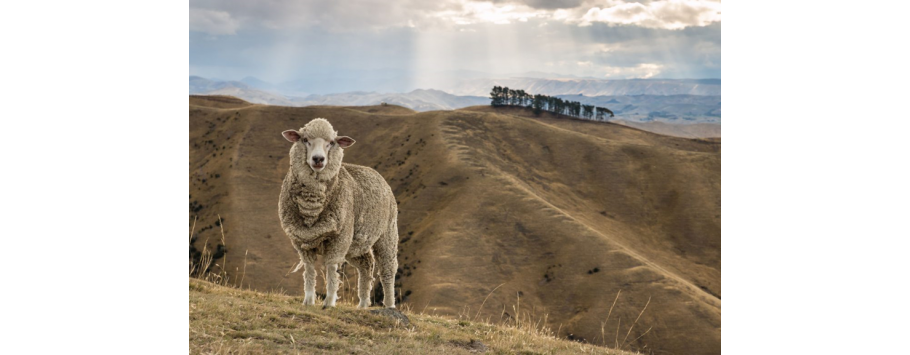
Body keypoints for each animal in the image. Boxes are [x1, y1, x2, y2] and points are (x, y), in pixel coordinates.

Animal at [278, 118, 400, 310]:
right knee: (366, 265)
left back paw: (389, 306)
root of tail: (376, 173)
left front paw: (329, 302)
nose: (318, 159)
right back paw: (363, 304)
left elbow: (330, 268)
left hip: (387, 234)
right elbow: (309, 270)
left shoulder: (339, 239)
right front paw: (309, 300)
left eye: (331, 142)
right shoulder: (301, 241)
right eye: (305, 139)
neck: (312, 206)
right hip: (356, 243)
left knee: (387, 270)